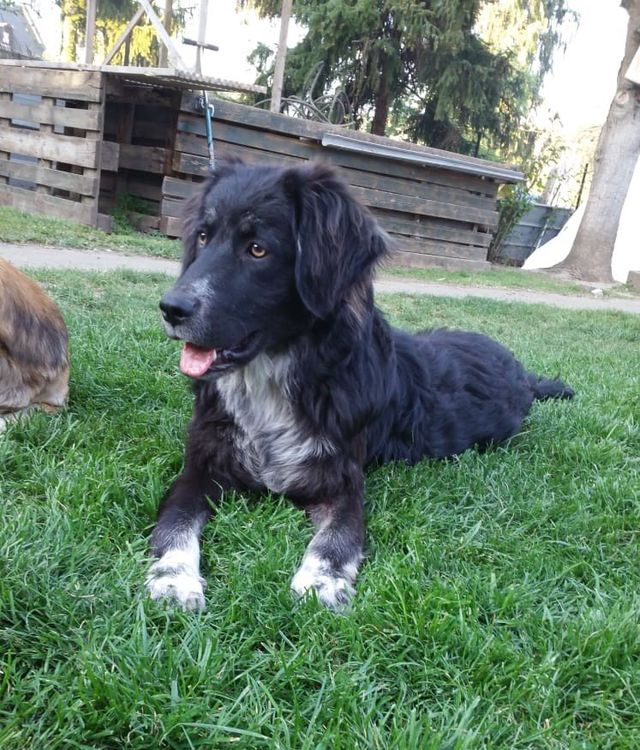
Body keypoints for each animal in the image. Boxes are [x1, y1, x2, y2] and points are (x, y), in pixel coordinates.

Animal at [147, 161, 573, 611]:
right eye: (204, 236)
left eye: (258, 249)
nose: (171, 308)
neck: (275, 377)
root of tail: (521, 373)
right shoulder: (200, 468)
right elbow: (174, 523)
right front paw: (174, 579)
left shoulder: (342, 482)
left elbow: (338, 536)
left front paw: (321, 580)